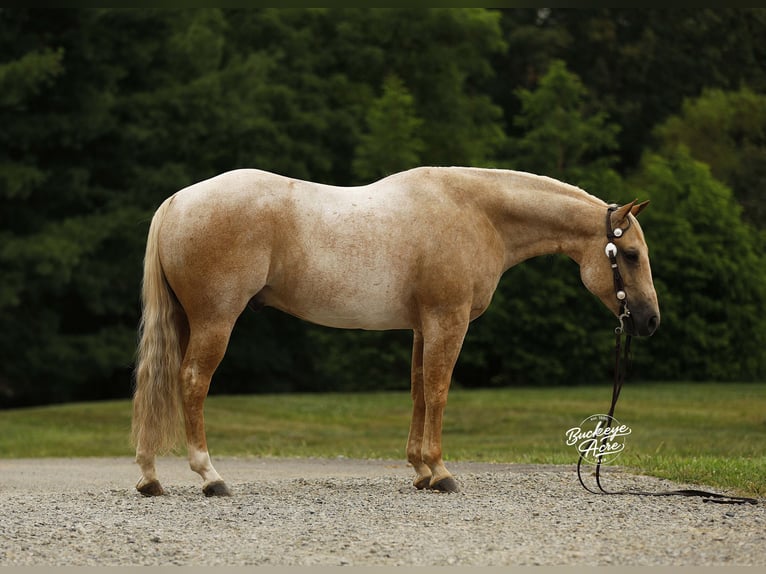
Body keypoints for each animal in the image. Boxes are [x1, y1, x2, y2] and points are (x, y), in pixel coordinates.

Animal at [131, 166, 660, 496]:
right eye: (631, 255)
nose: (650, 320)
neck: (477, 214)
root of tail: (177, 201)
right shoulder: (447, 319)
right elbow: (439, 391)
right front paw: (441, 472)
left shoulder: (424, 326)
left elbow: (419, 391)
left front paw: (421, 470)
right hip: (215, 320)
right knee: (192, 383)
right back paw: (210, 477)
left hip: (186, 322)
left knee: (159, 386)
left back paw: (150, 477)